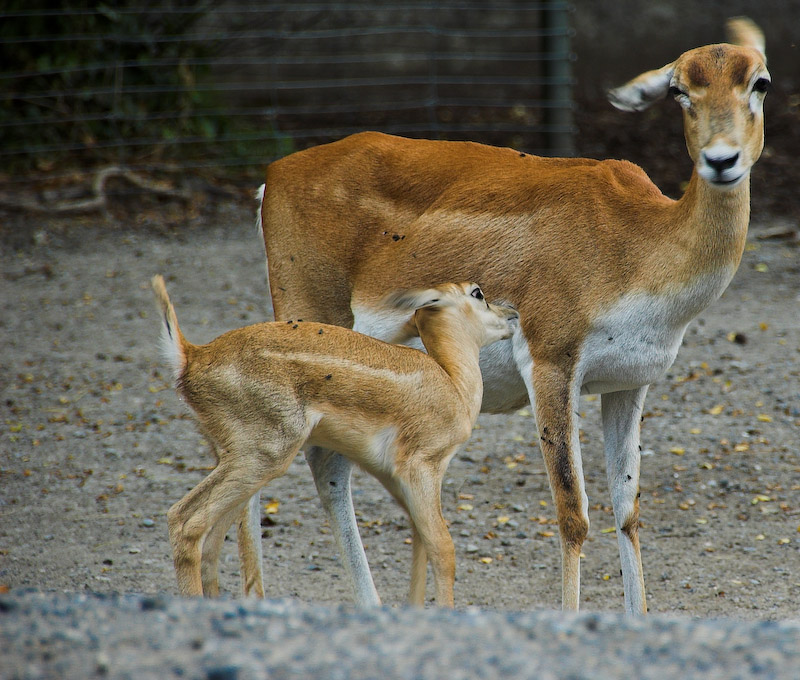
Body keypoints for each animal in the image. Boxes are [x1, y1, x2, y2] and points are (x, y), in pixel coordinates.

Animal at [253, 18, 764, 612]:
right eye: (680, 90)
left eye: (760, 82)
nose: (722, 160)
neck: (635, 244)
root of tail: (274, 174)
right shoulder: (551, 362)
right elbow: (572, 514)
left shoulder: (629, 382)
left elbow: (628, 511)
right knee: (321, 468)